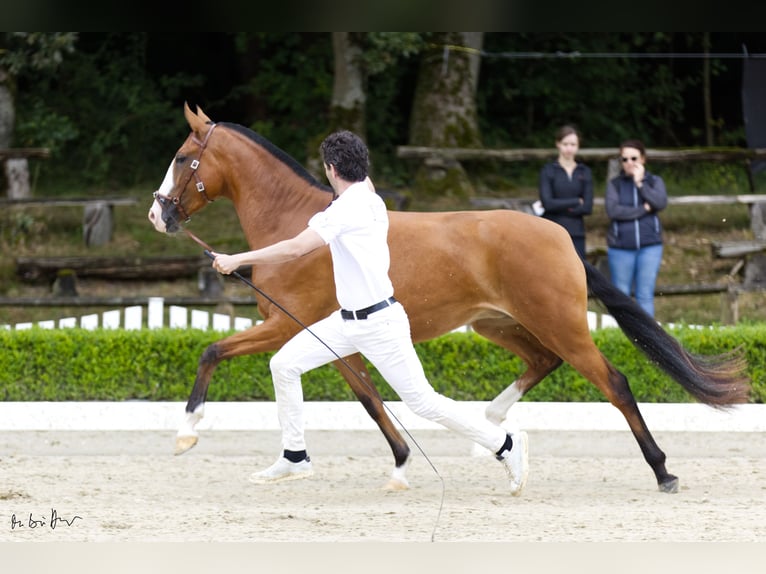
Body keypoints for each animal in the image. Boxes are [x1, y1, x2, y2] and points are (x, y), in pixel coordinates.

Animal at [148, 104, 752, 496]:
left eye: (180, 157)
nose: (158, 214)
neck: (299, 224)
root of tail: (560, 234)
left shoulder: (282, 327)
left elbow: (211, 351)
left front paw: (185, 433)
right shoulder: (330, 336)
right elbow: (369, 397)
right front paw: (399, 465)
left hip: (560, 323)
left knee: (615, 383)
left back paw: (662, 470)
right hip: (498, 325)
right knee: (542, 363)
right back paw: (496, 425)